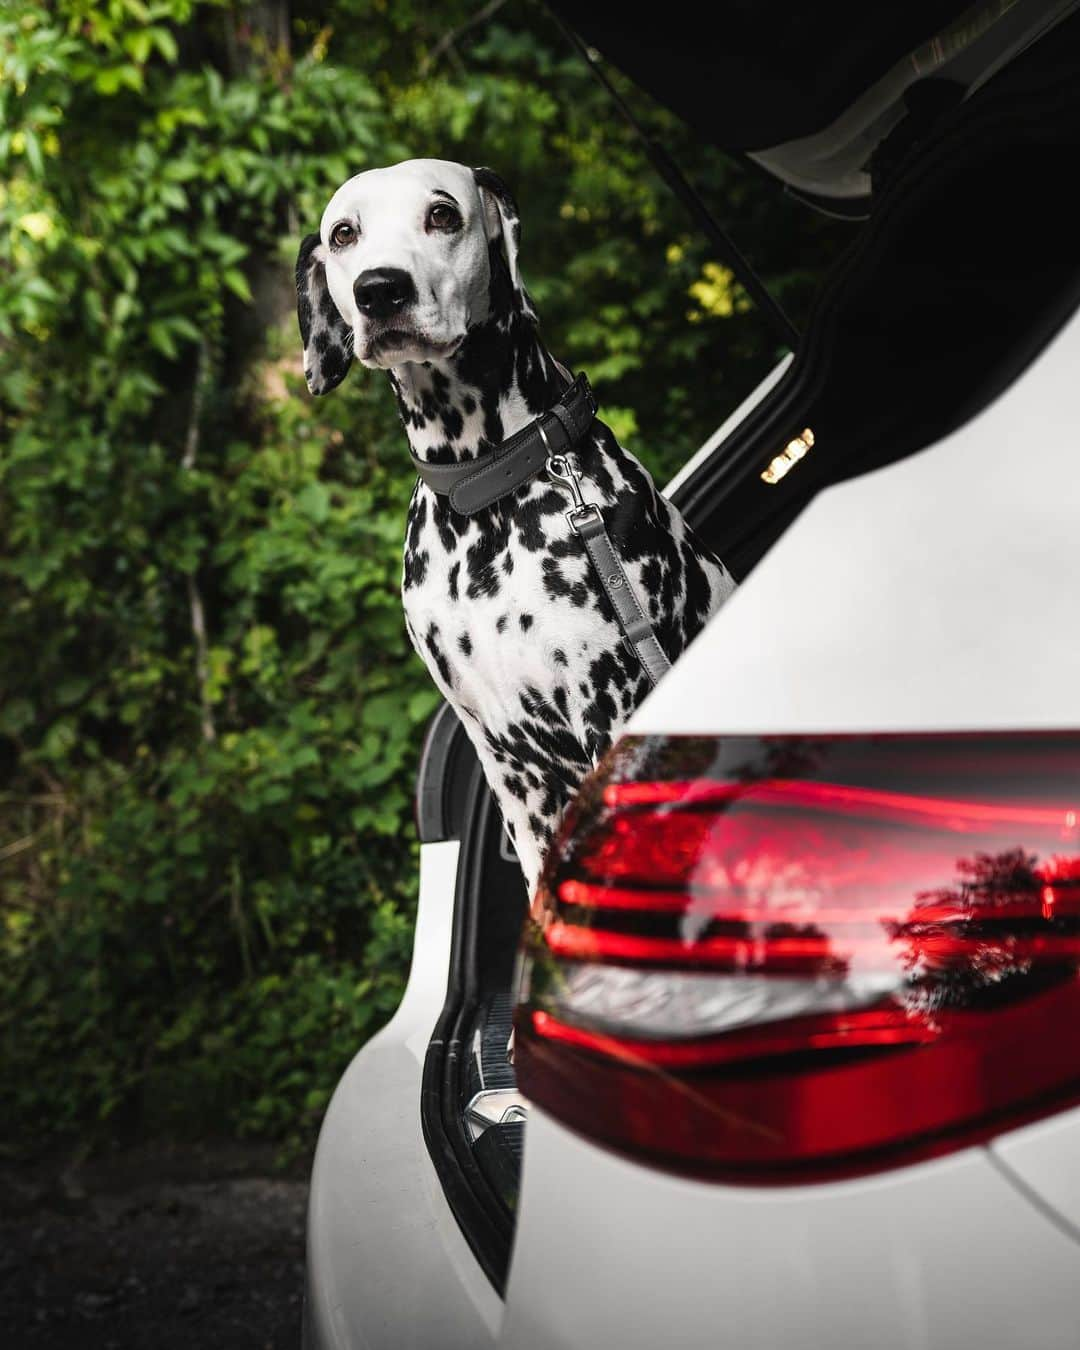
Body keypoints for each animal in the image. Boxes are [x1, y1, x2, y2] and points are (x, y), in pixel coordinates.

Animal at [295, 157, 734, 891]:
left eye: (443, 214)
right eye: (344, 233)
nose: (380, 289)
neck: (485, 484)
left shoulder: (611, 708)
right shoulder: (510, 771)